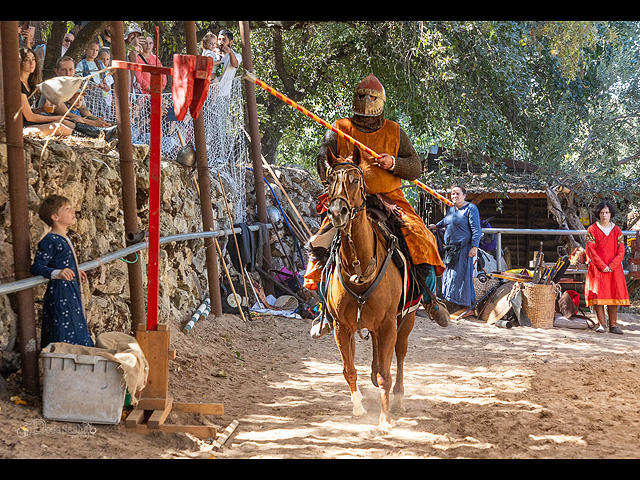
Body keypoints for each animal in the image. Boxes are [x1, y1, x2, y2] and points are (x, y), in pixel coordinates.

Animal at [324, 147, 416, 432]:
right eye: (329, 180)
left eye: (355, 179)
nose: (338, 212)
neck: (360, 266)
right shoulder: (342, 326)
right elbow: (349, 369)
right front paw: (358, 408)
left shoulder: (388, 324)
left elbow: (387, 373)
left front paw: (385, 420)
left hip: (407, 318)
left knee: (399, 352)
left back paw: (399, 399)